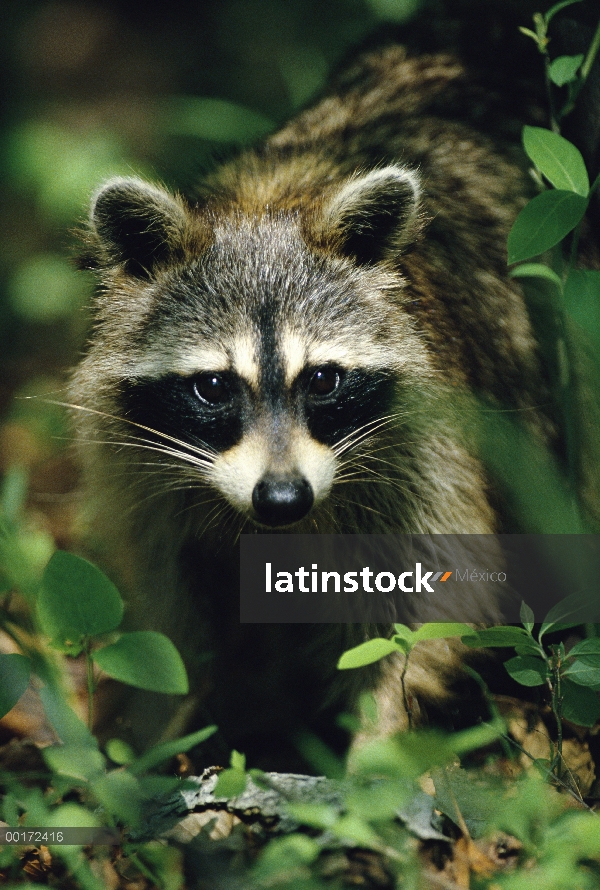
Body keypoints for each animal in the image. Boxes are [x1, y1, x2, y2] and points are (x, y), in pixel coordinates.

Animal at [70, 40, 556, 764]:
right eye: (213, 386)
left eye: (322, 380)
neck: (265, 202)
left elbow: (435, 596)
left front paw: (374, 751)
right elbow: (174, 624)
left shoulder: (430, 446)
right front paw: (154, 739)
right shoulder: (142, 471)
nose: (281, 499)